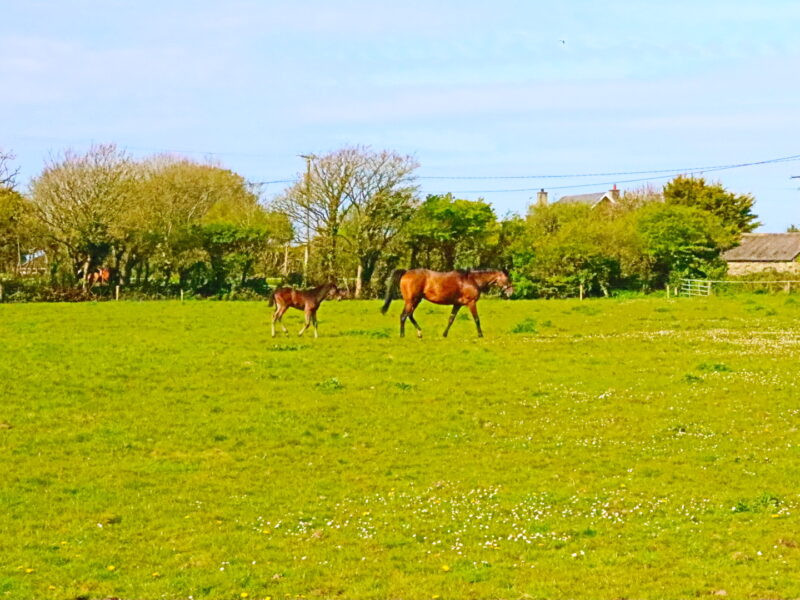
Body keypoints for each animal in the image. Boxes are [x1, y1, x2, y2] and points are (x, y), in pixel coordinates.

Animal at [380, 268, 512, 338]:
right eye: (508, 278)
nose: (511, 292)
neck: (473, 280)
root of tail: (406, 272)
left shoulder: (457, 304)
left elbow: (451, 319)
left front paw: (444, 334)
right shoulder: (471, 303)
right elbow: (476, 319)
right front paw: (480, 335)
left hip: (416, 300)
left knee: (410, 315)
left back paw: (419, 332)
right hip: (411, 300)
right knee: (403, 316)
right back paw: (402, 335)